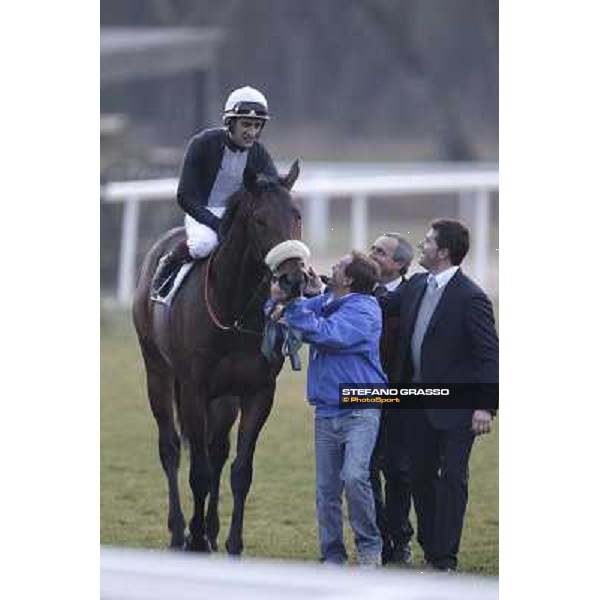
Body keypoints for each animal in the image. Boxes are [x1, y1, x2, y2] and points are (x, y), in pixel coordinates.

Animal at [131, 163, 300, 552]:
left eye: (297, 215)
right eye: (259, 220)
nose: (294, 278)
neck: (234, 310)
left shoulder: (257, 392)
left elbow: (240, 470)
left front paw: (233, 543)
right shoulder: (195, 388)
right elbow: (199, 471)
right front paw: (193, 539)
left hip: (224, 399)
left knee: (217, 449)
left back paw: (209, 529)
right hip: (157, 370)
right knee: (171, 448)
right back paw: (179, 531)